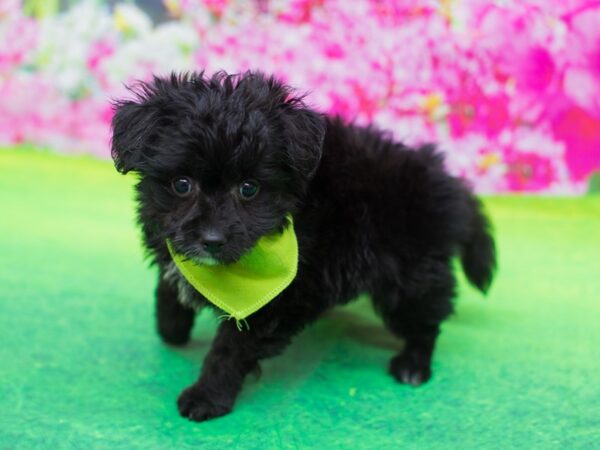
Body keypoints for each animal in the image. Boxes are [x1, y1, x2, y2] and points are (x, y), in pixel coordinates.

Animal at [110, 71, 494, 422]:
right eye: (182, 184)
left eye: (249, 189)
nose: (212, 239)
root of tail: (448, 185)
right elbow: (169, 285)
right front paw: (172, 325)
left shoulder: (276, 302)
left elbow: (229, 348)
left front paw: (207, 396)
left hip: (410, 276)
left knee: (426, 319)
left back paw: (414, 364)